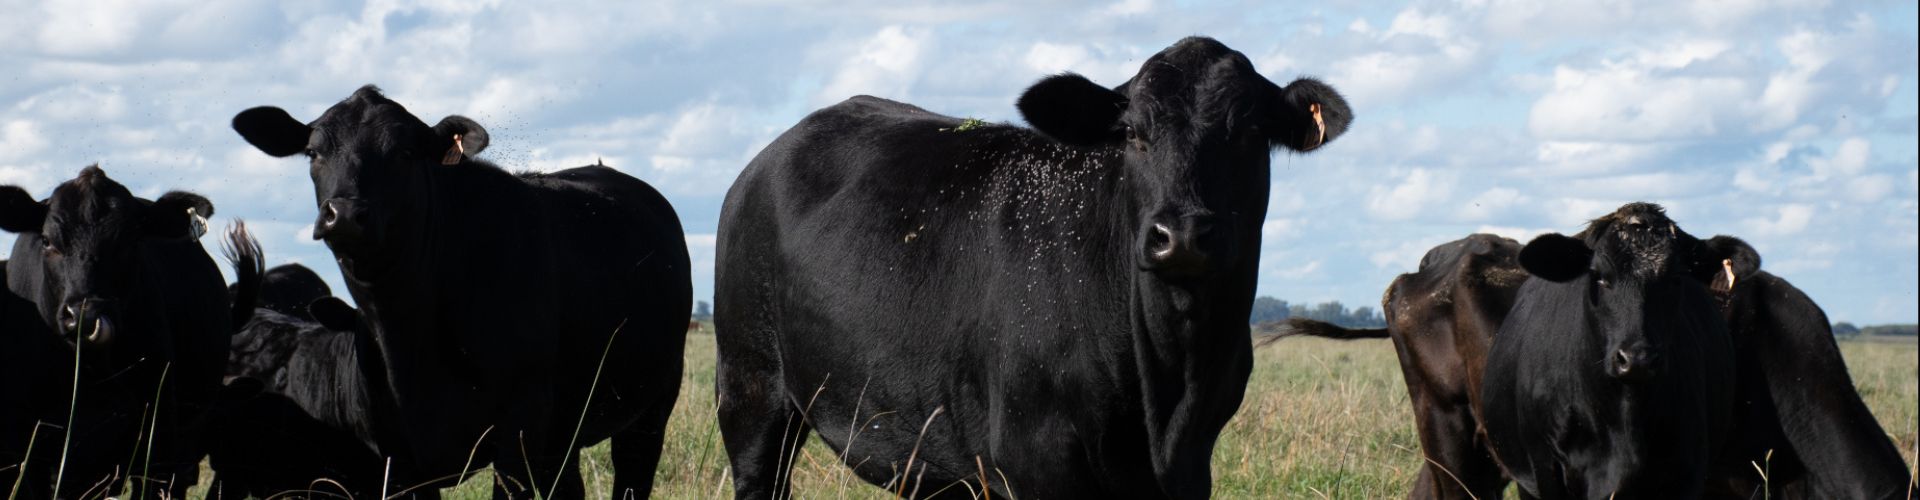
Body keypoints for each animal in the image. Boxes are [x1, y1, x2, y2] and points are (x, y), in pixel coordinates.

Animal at [233, 87, 695, 500]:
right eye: (314, 153)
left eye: (405, 153)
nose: (344, 214)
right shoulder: (396, 458)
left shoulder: (521, 428)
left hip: (651, 409)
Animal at [714, 37, 1359, 496]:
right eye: (1133, 133)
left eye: (1249, 132)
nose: (1181, 236)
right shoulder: (1037, 459)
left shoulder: (1193, 463)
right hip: (751, 387)